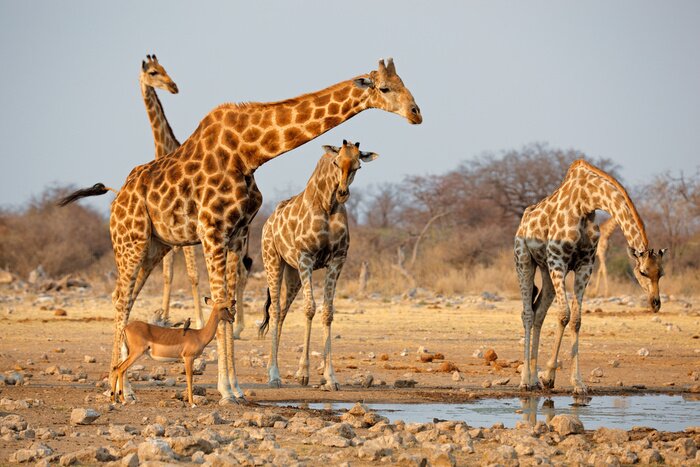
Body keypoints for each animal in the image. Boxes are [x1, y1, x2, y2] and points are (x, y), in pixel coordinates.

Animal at [258, 140, 378, 391]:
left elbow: (327, 312)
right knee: (275, 310)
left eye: (358, 166)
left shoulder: (337, 260)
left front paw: (330, 377)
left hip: (292, 273)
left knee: (282, 312)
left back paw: (272, 370)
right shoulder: (307, 257)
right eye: (336, 162)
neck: (327, 205)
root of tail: (267, 223)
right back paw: (274, 375)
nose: (342, 193)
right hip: (272, 260)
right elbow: (310, 308)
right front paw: (304, 373)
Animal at [514, 159, 666, 394]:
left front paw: (577, 383)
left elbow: (576, 320)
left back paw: (533, 379)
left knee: (539, 312)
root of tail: (524, 220)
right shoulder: (558, 260)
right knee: (527, 314)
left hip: (546, 271)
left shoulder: (585, 265)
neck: (586, 201)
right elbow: (564, 315)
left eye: (662, 273)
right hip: (524, 260)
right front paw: (549, 376)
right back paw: (524, 381)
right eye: (642, 272)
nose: (655, 303)